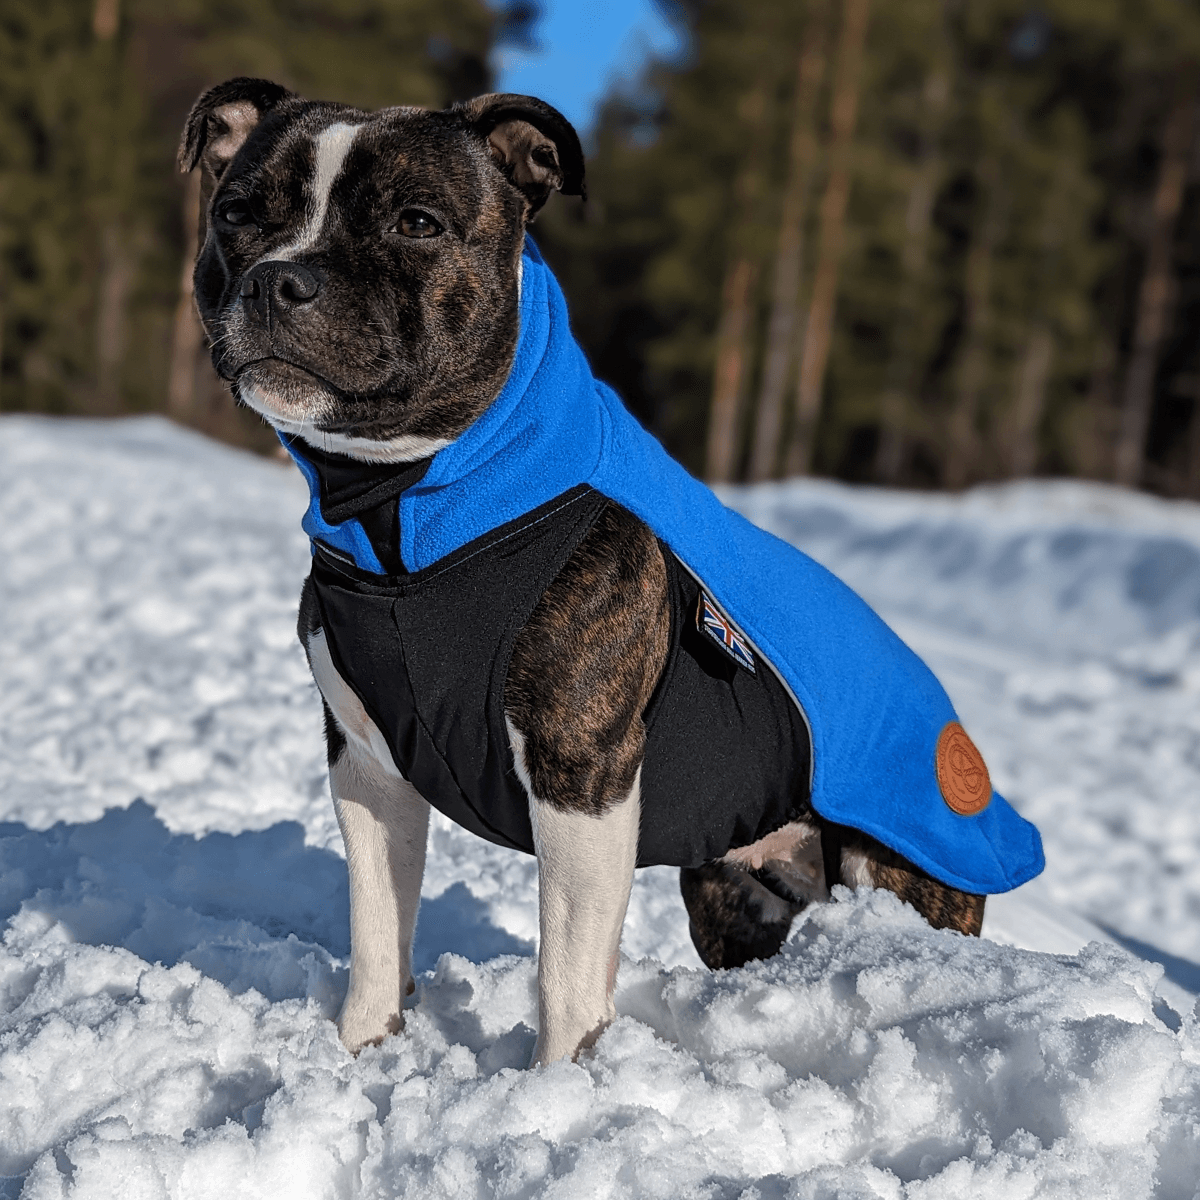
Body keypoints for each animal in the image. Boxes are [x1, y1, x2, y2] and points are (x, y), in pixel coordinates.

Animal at [175, 79, 1041, 1065]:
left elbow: (565, 973)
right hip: (729, 893)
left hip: (902, 875)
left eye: (416, 221)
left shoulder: (579, 778)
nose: (280, 279)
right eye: (238, 214)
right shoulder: (368, 769)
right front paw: (362, 1055)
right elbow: (378, 931)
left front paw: (554, 1087)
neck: (403, 512)